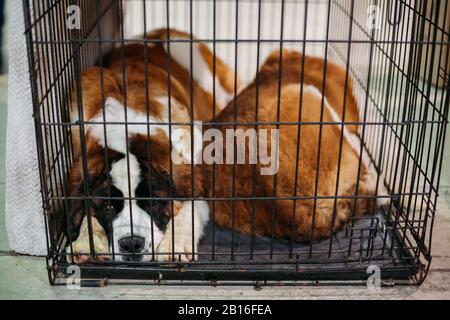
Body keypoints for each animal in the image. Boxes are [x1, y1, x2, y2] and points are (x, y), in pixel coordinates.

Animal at [66, 29, 239, 262]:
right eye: (109, 206)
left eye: (153, 202)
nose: (131, 244)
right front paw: (85, 242)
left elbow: (188, 208)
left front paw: (174, 244)